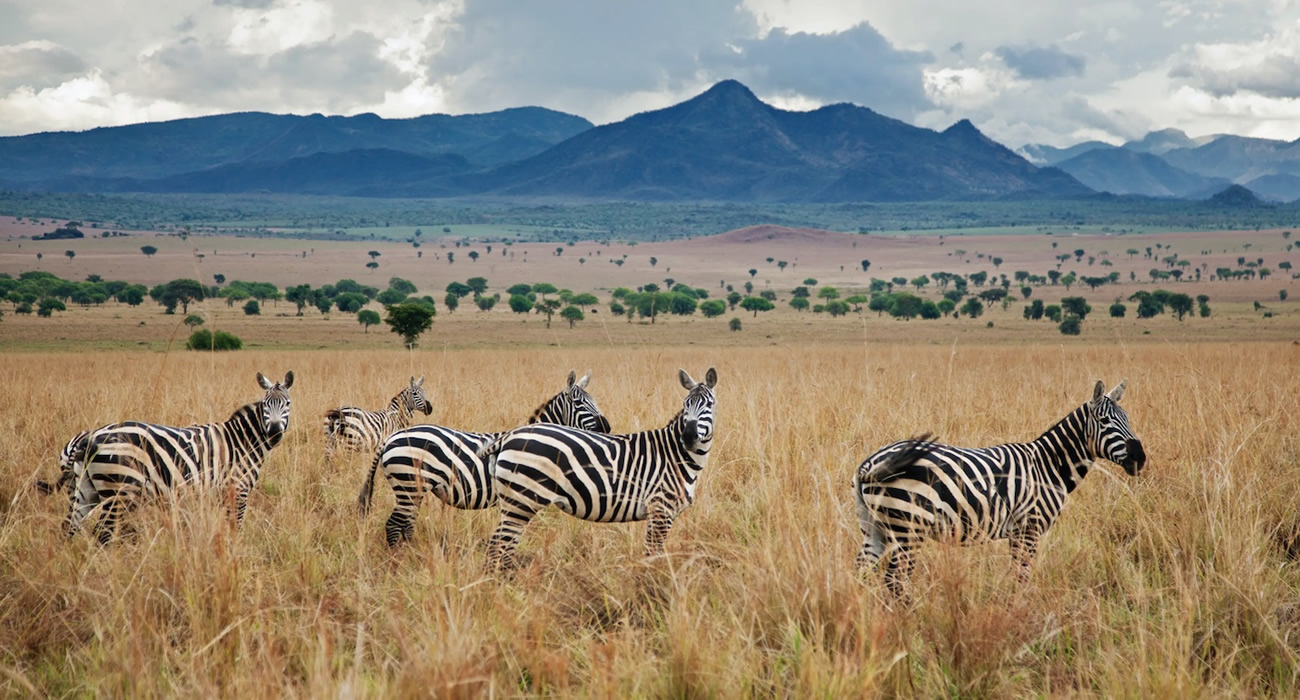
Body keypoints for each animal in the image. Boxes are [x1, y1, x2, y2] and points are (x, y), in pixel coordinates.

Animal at [63, 366, 295, 541]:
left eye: (287, 404)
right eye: (266, 404)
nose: (274, 432)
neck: (241, 441)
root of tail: (89, 437)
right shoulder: (238, 490)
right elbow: (236, 529)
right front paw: (234, 556)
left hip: (86, 490)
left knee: (69, 528)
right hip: (119, 492)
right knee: (102, 534)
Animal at [356, 366, 613, 546]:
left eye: (594, 401)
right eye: (579, 403)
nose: (607, 428)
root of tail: (392, 437)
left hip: (413, 488)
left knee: (405, 524)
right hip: (408, 484)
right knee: (394, 525)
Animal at [480, 366, 717, 569]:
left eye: (709, 405)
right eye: (686, 404)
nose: (688, 436)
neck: (675, 455)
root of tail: (509, 435)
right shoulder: (660, 510)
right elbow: (653, 556)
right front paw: (652, 583)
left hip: (515, 504)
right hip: (520, 502)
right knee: (497, 548)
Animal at [852, 379, 1149, 590]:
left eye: (1128, 419)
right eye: (1105, 421)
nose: (1140, 457)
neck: (1048, 467)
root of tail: (869, 464)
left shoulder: (1018, 532)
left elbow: (1017, 575)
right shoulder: (1030, 527)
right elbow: (1022, 577)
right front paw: (1021, 614)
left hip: (874, 527)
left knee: (862, 576)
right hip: (908, 527)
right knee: (894, 582)